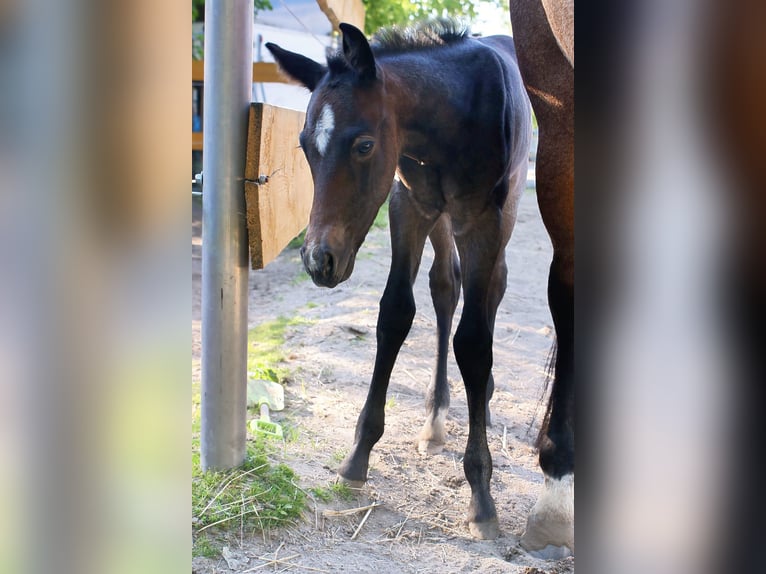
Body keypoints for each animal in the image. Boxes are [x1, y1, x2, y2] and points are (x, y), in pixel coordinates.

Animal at [267, 19, 542, 546]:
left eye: (364, 145)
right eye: (306, 146)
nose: (318, 260)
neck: (454, 117)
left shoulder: (485, 222)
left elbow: (474, 342)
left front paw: (481, 496)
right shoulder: (407, 205)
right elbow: (395, 314)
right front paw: (357, 456)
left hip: (500, 216)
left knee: (491, 291)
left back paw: (482, 399)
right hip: (440, 220)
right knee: (445, 286)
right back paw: (435, 417)